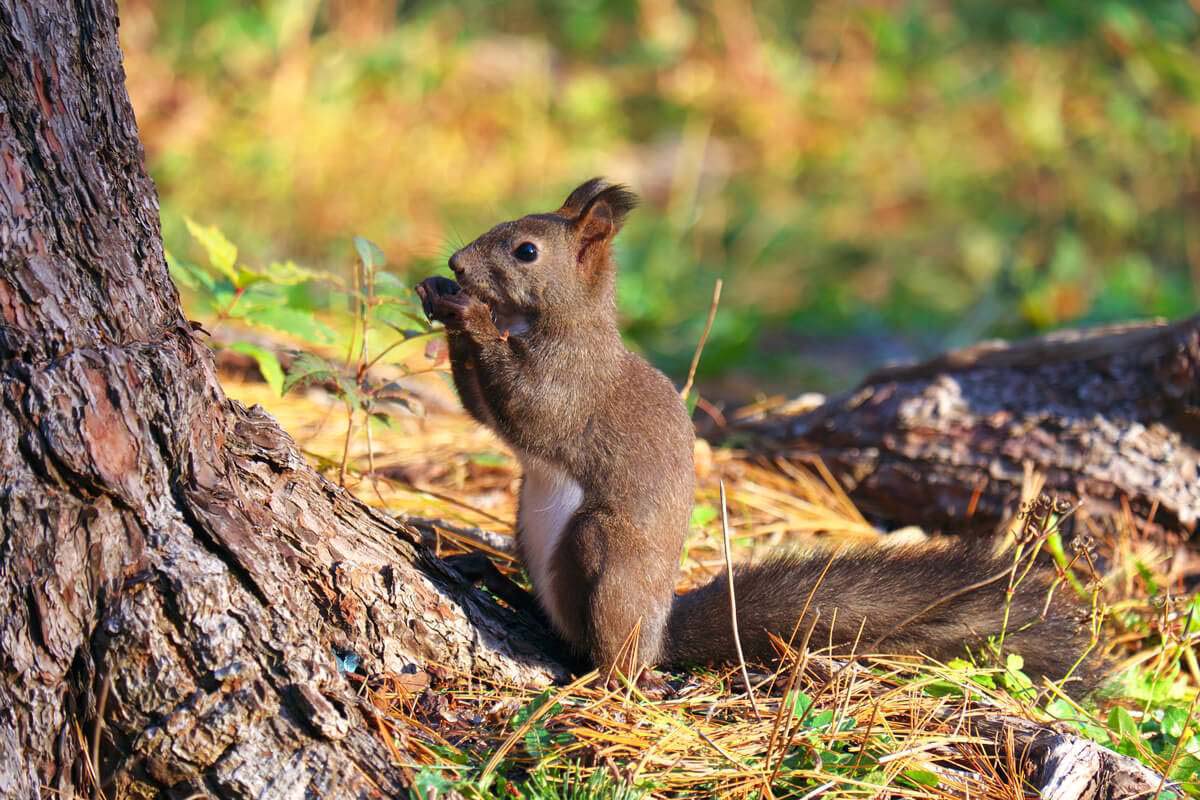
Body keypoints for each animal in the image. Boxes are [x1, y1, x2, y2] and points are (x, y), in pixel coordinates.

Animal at [417, 179, 1099, 695]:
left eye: (526, 251)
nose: (455, 265)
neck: (559, 324)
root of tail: (659, 631)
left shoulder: (571, 386)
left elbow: (524, 411)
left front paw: (470, 314)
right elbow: (482, 409)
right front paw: (439, 295)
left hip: (608, 555)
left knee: (613, 653)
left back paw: (607, 675)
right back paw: (494, 579)